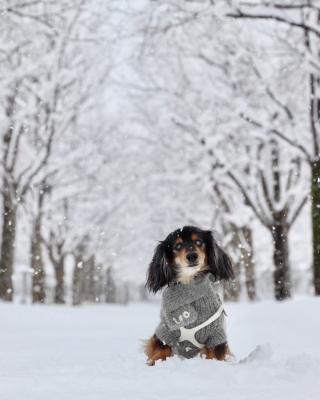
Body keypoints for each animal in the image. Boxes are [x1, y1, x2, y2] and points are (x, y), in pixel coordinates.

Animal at [144, 225, 234, 366]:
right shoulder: (165, 332)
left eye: (198, 242)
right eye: (178, 246)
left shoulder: (215, 336)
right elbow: (161, 350)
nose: (192, 256)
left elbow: (214, 355)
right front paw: (155, 363)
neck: (189, 285)